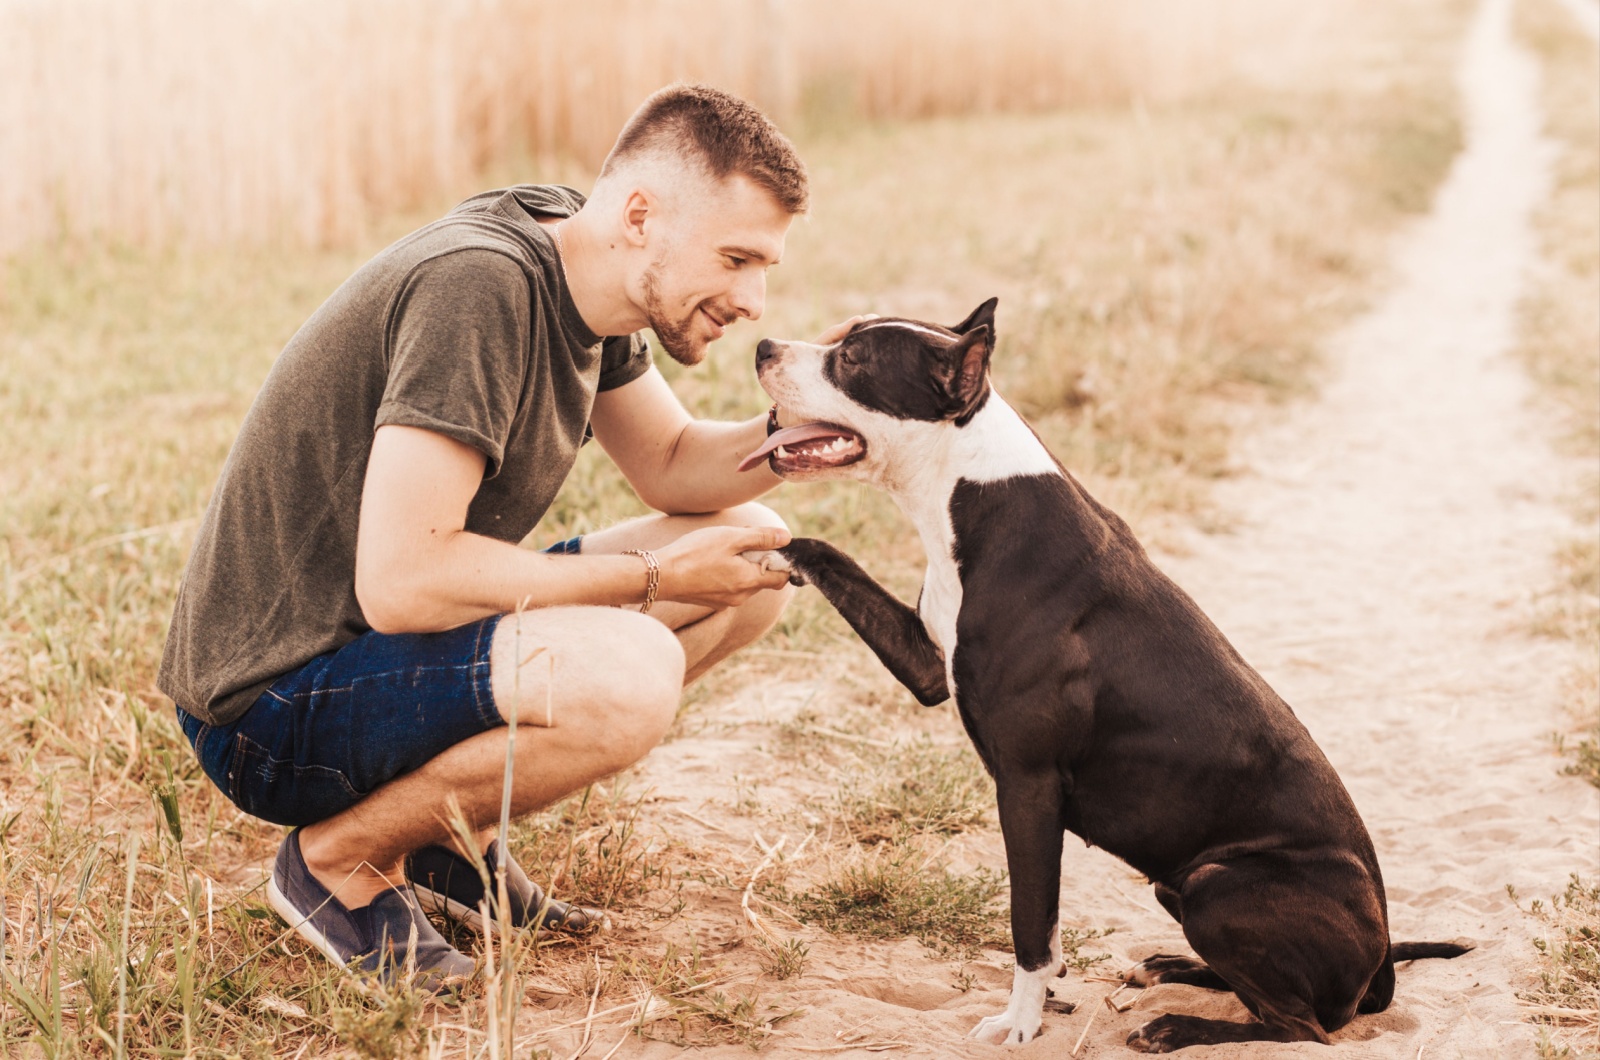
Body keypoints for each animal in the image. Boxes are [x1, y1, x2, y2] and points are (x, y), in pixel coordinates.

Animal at [742, 301, 1465, 1056]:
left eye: (853, 360)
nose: (762, 346)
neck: (970, 486)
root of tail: (1381, 964)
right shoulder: (927, 664)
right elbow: (827, 555)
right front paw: (762, 550)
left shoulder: (1028, 787)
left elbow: (1030, 922)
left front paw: (1021, 1020)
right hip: (1180, 886)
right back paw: (1171, 967)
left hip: (1216, 886)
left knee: (1302, 1026)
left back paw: (1178, 1022)